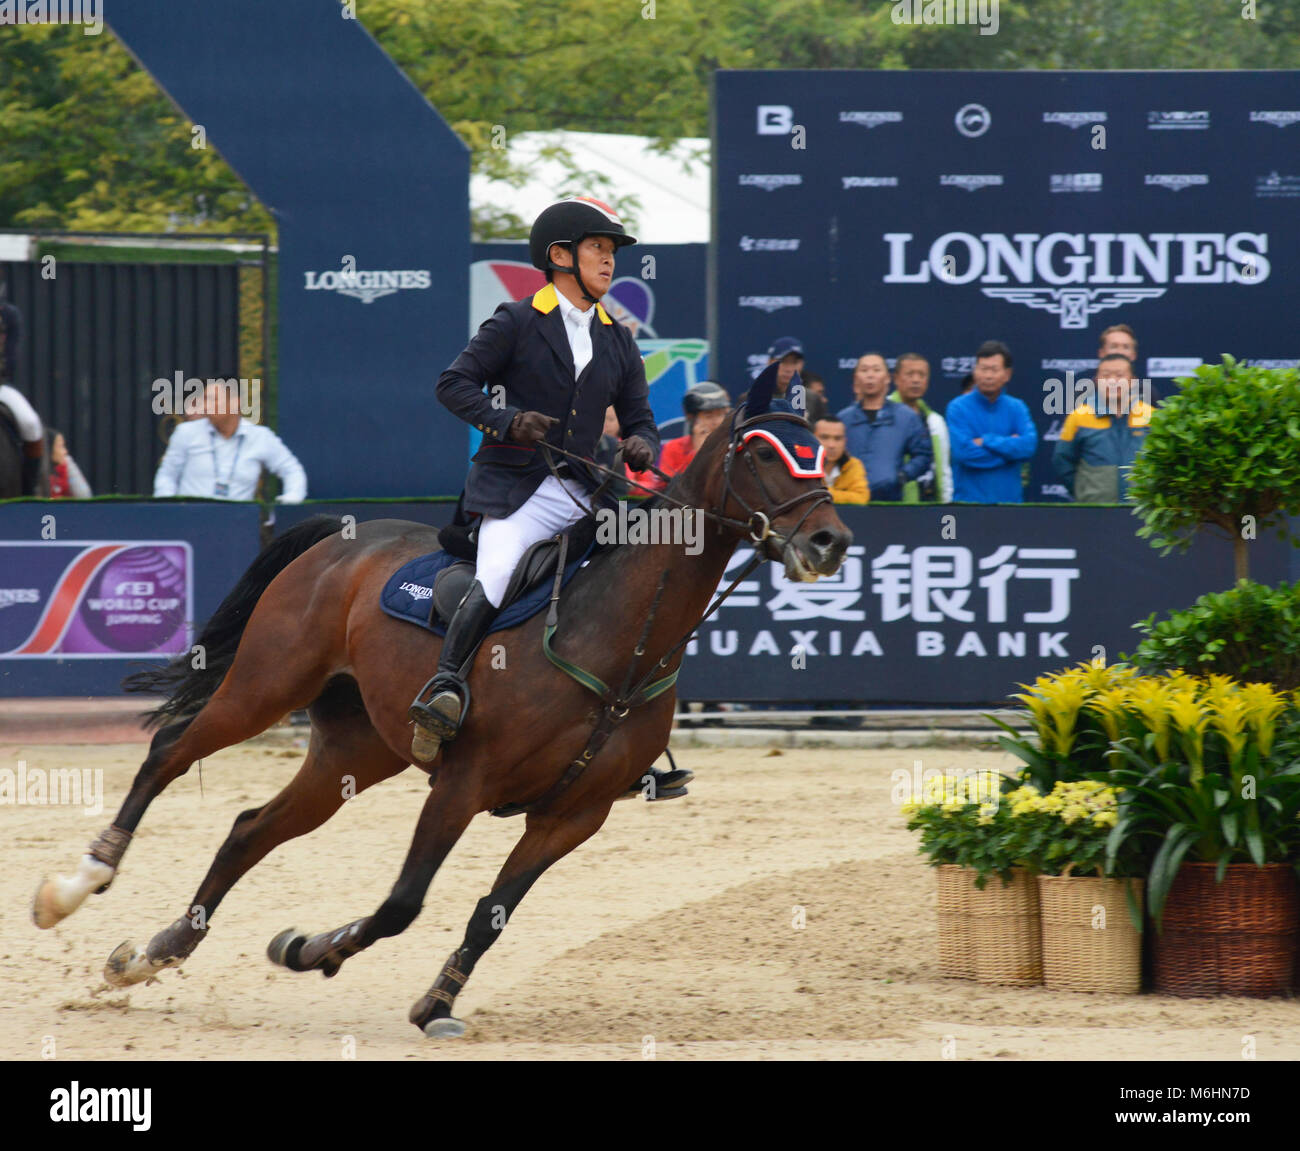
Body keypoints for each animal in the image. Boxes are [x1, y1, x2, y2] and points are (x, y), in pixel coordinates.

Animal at [32, 384, 852, 1035]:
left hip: (354, 751)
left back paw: (155, 952)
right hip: (265, 688)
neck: (618, 633)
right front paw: (317, 949)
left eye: (823, 455)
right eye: (765, 455)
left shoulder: (574, 814)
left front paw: (427, 999)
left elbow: (490, 914)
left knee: (248, 831)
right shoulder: (463, 783)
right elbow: (403, 903)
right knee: (168, 753)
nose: (830, 540)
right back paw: (78, 883)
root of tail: (344, 538)